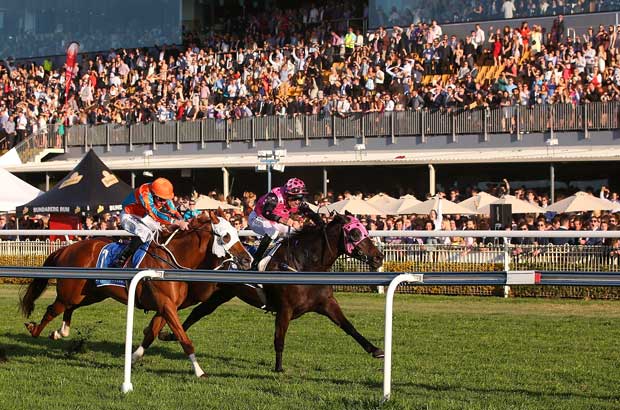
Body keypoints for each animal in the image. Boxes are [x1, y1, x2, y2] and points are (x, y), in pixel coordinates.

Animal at [19, 211, 252, 378]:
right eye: (226, 236)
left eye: (236, 233)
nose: (247, 260)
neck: (174, 259)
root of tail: (67, 248)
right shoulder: (166, 304)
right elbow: (184, 339)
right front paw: (199, 371)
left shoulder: (167, 306)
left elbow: (151, 333)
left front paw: (132, 358)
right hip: (72, 292)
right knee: (53, 309)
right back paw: (34, 329)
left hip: (90, 294)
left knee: (68, 309)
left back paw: (61, 331)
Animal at [159, 211, 382, 372]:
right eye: (355, 233)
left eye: (366, 231)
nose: (379, 257)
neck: (304, 264)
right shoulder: (285, 309)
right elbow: (279, 338)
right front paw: (279, 368)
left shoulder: (327, 303)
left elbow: (349, 327)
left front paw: (376, 350)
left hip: (220, 295)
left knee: (199, 312)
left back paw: (169, 335)